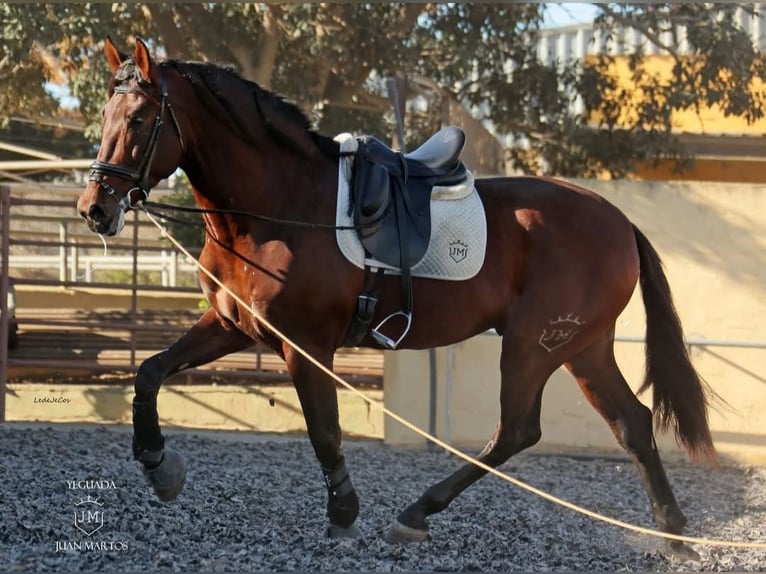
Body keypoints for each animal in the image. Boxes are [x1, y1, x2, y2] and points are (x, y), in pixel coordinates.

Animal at [75, 38, 716, 560]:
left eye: (138, 118)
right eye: (104, 115)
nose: (94, 209)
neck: (280, 207)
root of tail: (618, 221)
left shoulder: (304, 345)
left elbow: (324, 431)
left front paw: (343, 516)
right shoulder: (234, 326)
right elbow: (150, 371)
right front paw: (159, 465)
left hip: (534, 345)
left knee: (517, 431)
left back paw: (416, 513)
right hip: (583, 346)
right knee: (630, 424)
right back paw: (673, 533)